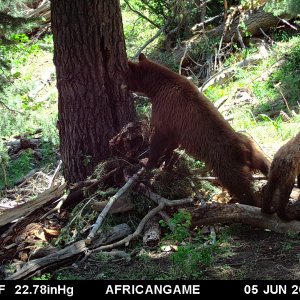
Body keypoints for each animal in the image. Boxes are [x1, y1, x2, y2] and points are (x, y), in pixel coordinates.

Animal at [125, 52, 270, 205]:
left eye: (128, 75)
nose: (124, 86)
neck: (157, 86)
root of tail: (243, 150)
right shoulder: (175, 124)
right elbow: (172, 142)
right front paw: (167, 161)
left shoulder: (164, 110)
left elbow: (159, 138)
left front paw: (147, 162)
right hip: (255, 150)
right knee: (266, 164)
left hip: (226, 164)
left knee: (241, 187)